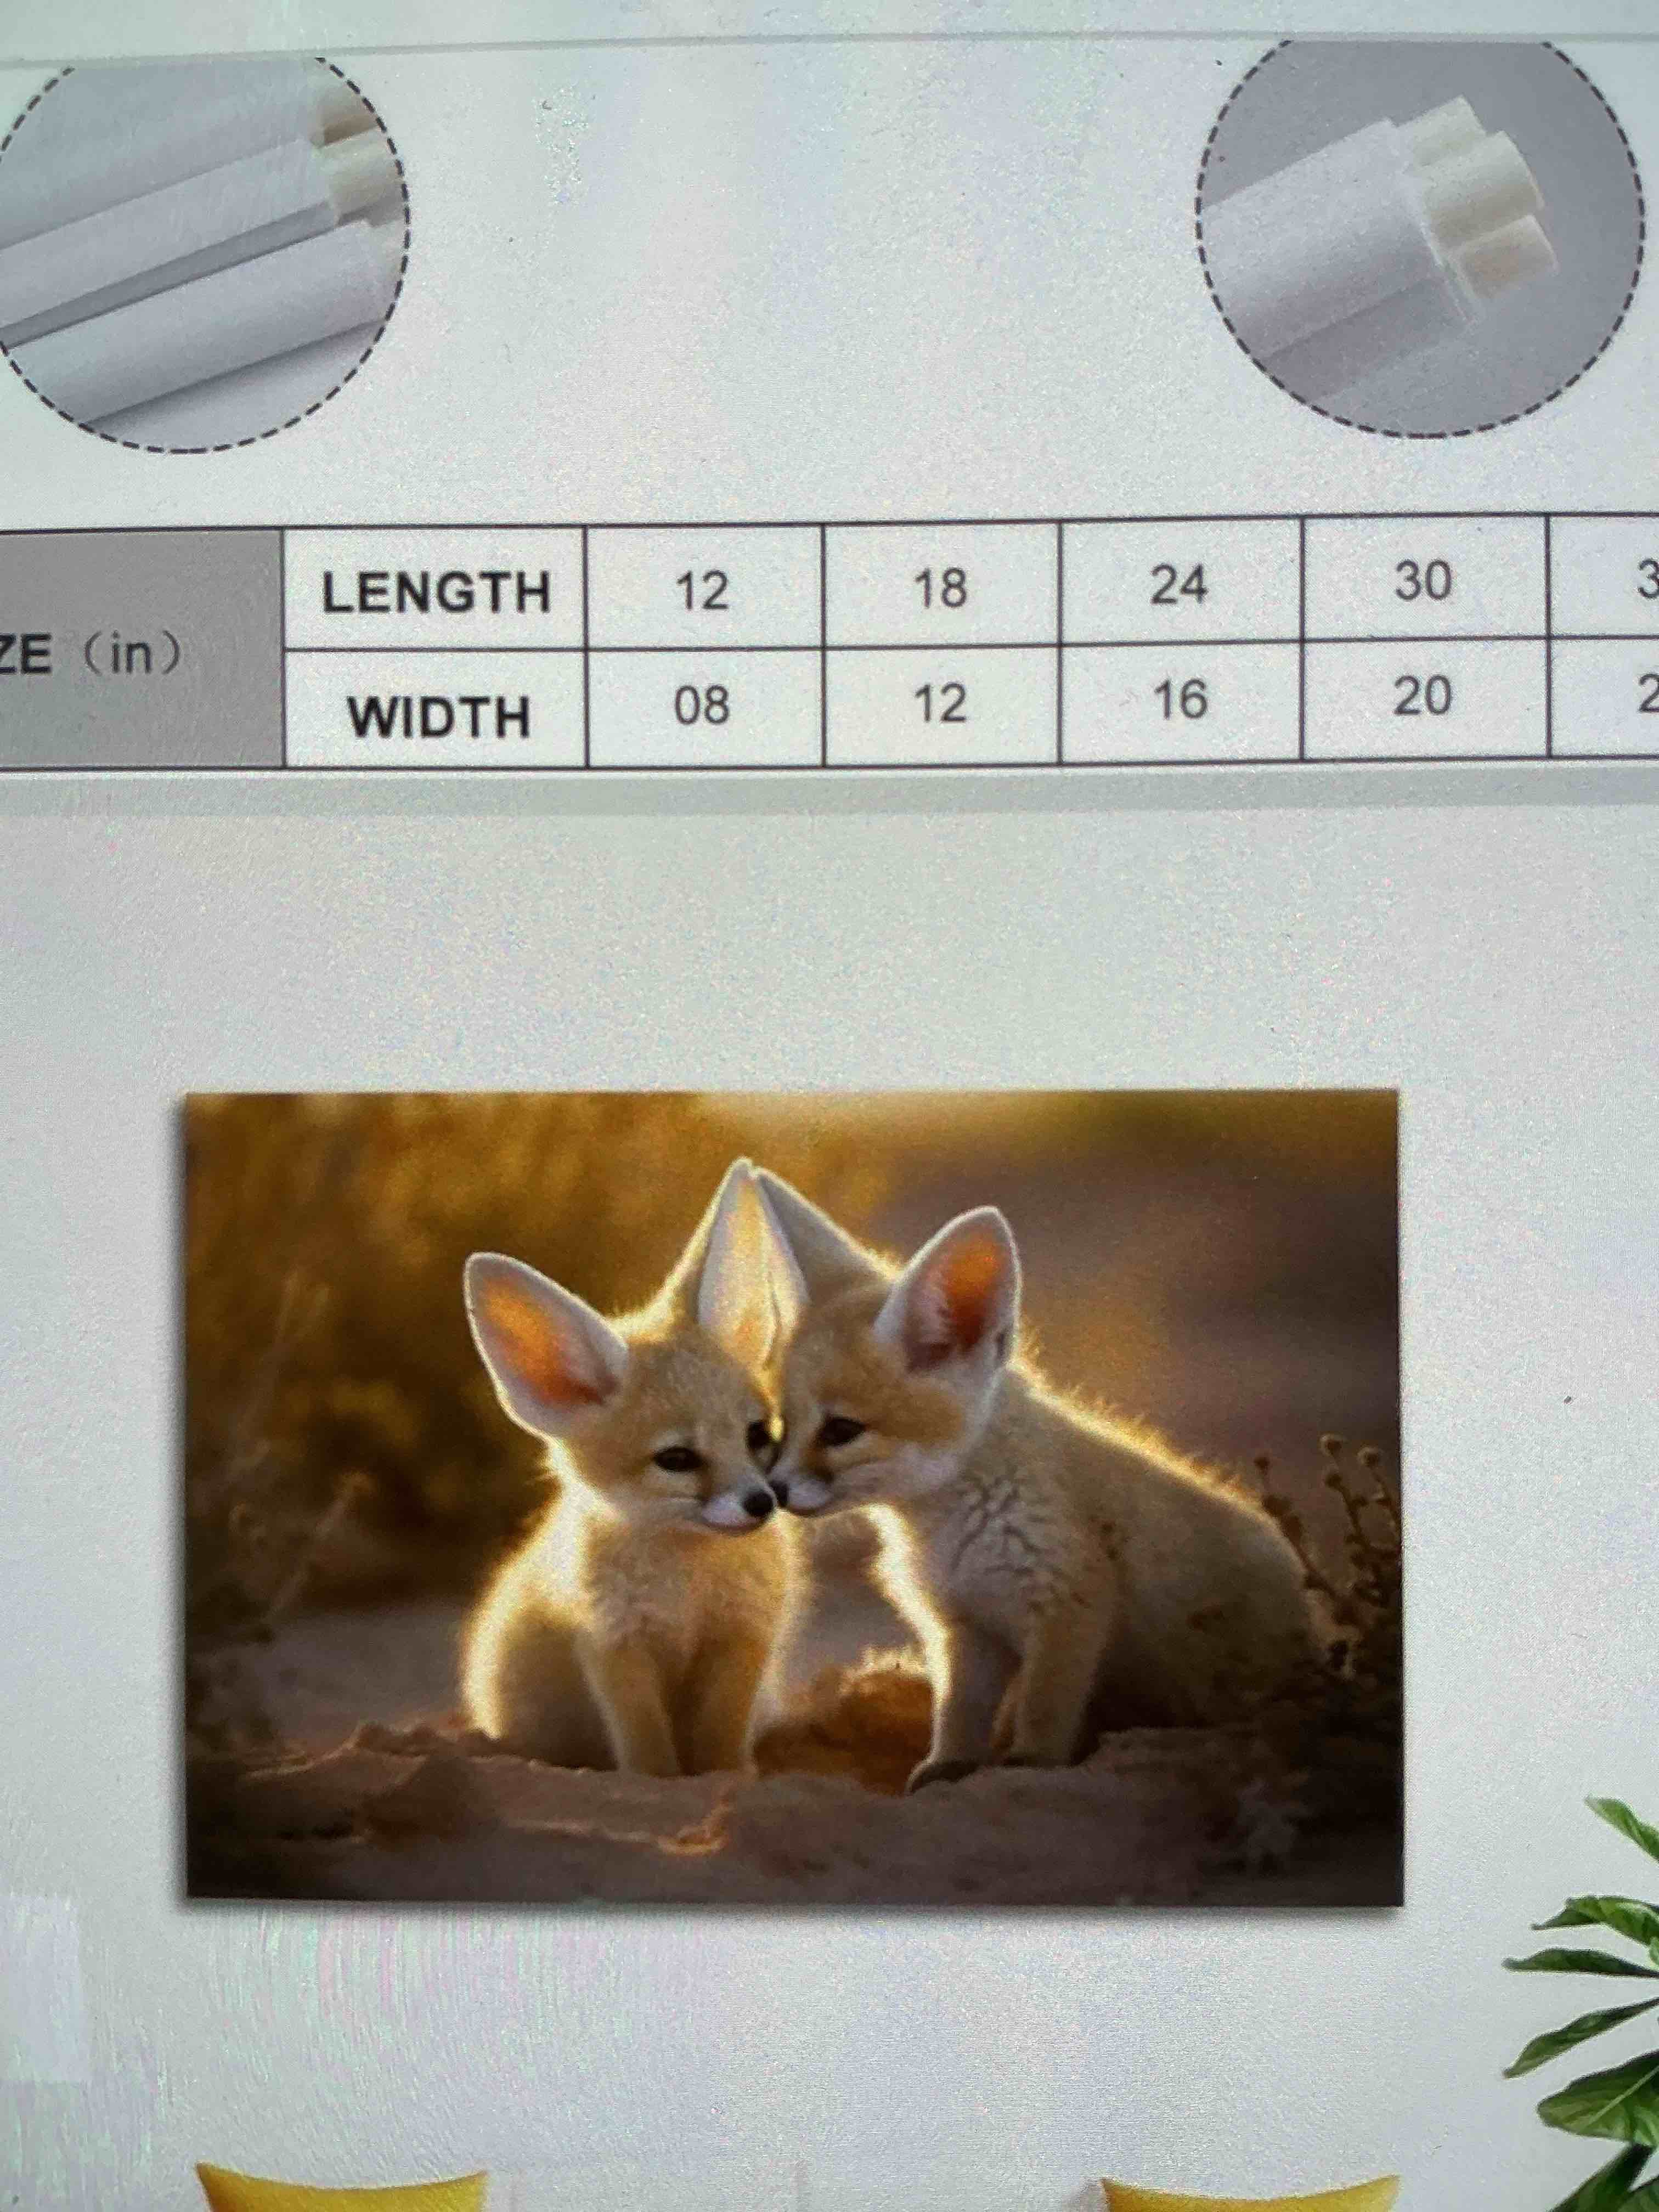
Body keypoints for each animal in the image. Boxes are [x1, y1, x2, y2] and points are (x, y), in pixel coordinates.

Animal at [460, 1159, 793, 1777]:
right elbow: (648, 1751)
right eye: (676, 1459)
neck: (686, 1589)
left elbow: (722, 1746)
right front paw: (658, 1783)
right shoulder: (615, 1646)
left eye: (758, 1435)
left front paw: (731, 1780)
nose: (762, 1502)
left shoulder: (742, 1638)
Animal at [751, 1168, 1321, 1794]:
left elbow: (1045, 1709)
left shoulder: (1067, 1602)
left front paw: (1030, 1761)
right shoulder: (965, 1630)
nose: (774, 1492)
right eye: (777, 1427)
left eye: (842, 1431)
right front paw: (948, 1766)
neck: (955, 1529)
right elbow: (957, 1716)